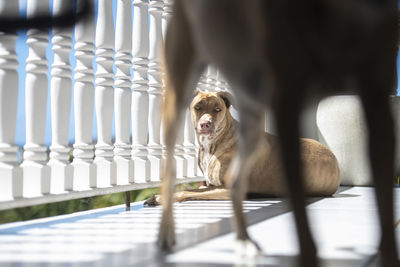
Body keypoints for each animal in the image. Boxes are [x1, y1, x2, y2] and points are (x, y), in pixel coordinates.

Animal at [145, 90, 340, 205]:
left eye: (217, 109)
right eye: (198, 107)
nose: (205, 124)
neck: (213, 144)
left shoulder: (228, 189)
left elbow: (186, 191)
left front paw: (160, 198)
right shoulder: (211, 184)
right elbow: (195, 189)